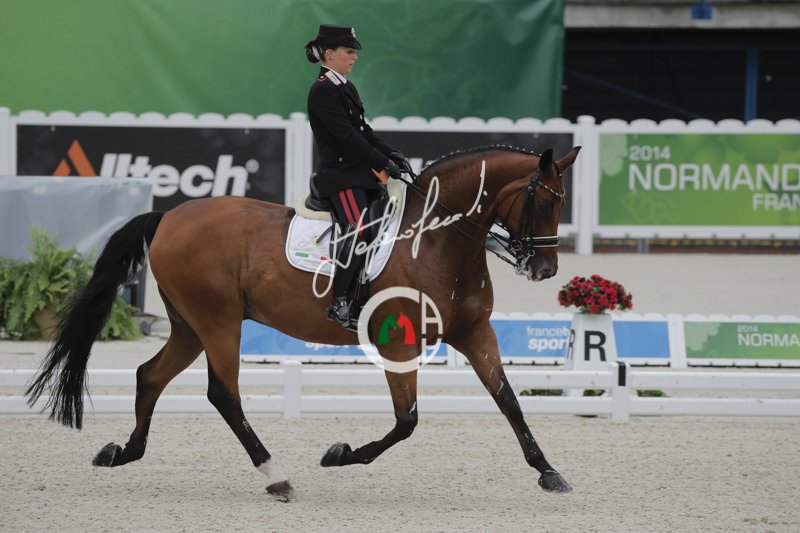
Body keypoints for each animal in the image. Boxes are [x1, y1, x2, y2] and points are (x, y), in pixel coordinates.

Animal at [26, 144, 581, 501]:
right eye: (542, 200)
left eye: (561, 202)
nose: (543, 269)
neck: (438, 240)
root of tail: (168, 216)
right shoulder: (398, 345)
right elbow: (406, 422)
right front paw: (339, 454)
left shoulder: (475, 333)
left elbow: (510, 402)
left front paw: (549, 472)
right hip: (218, 321)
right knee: (222, 394)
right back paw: (275, 477)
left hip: (189, 327)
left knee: (150, 376)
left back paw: (123, 453)